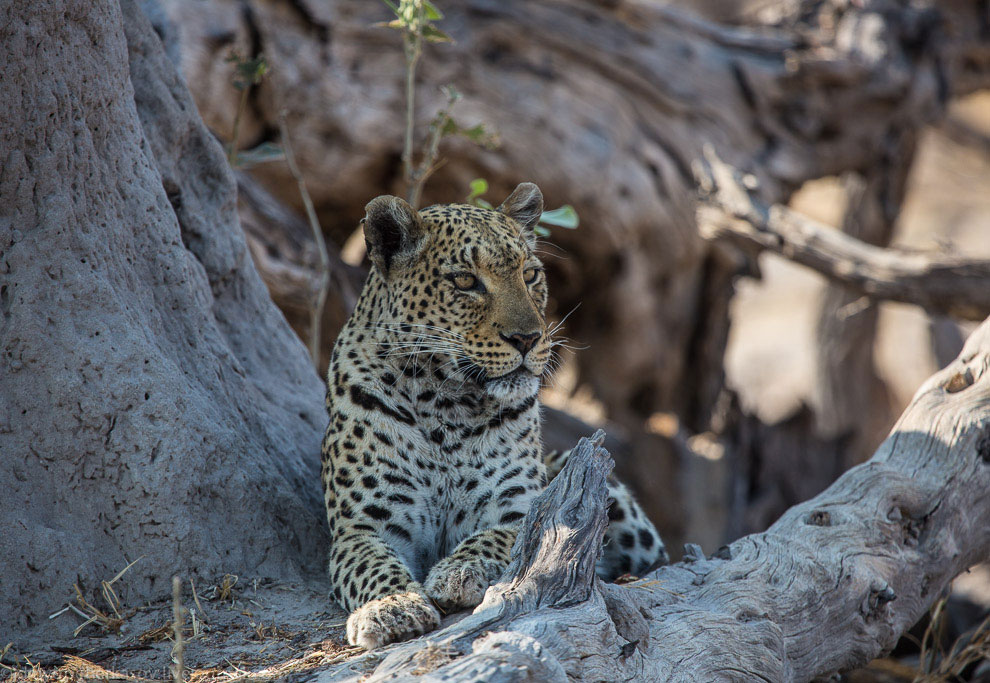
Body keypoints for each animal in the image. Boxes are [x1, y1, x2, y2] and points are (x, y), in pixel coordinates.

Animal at [322, 183, 672, 652]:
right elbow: (372, 565)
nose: (528, 338)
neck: (443, 405)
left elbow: (496, 538)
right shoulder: (361, 526)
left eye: (530, 275)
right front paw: (391, 608)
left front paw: (457, 573)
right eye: (465, 281)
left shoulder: (521, 508)